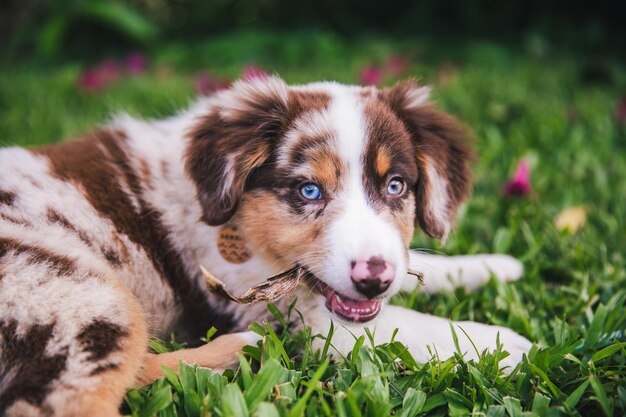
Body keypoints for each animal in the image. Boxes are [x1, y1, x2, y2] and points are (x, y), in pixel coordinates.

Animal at [0, 76, 528, 414]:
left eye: (396, 186)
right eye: (309, 191)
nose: (373, 280)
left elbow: (417, 267)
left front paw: (495, 267)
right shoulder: (290, 314)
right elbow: (417, 325)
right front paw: (507, 344)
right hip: (82, 296)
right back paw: (238, 348)